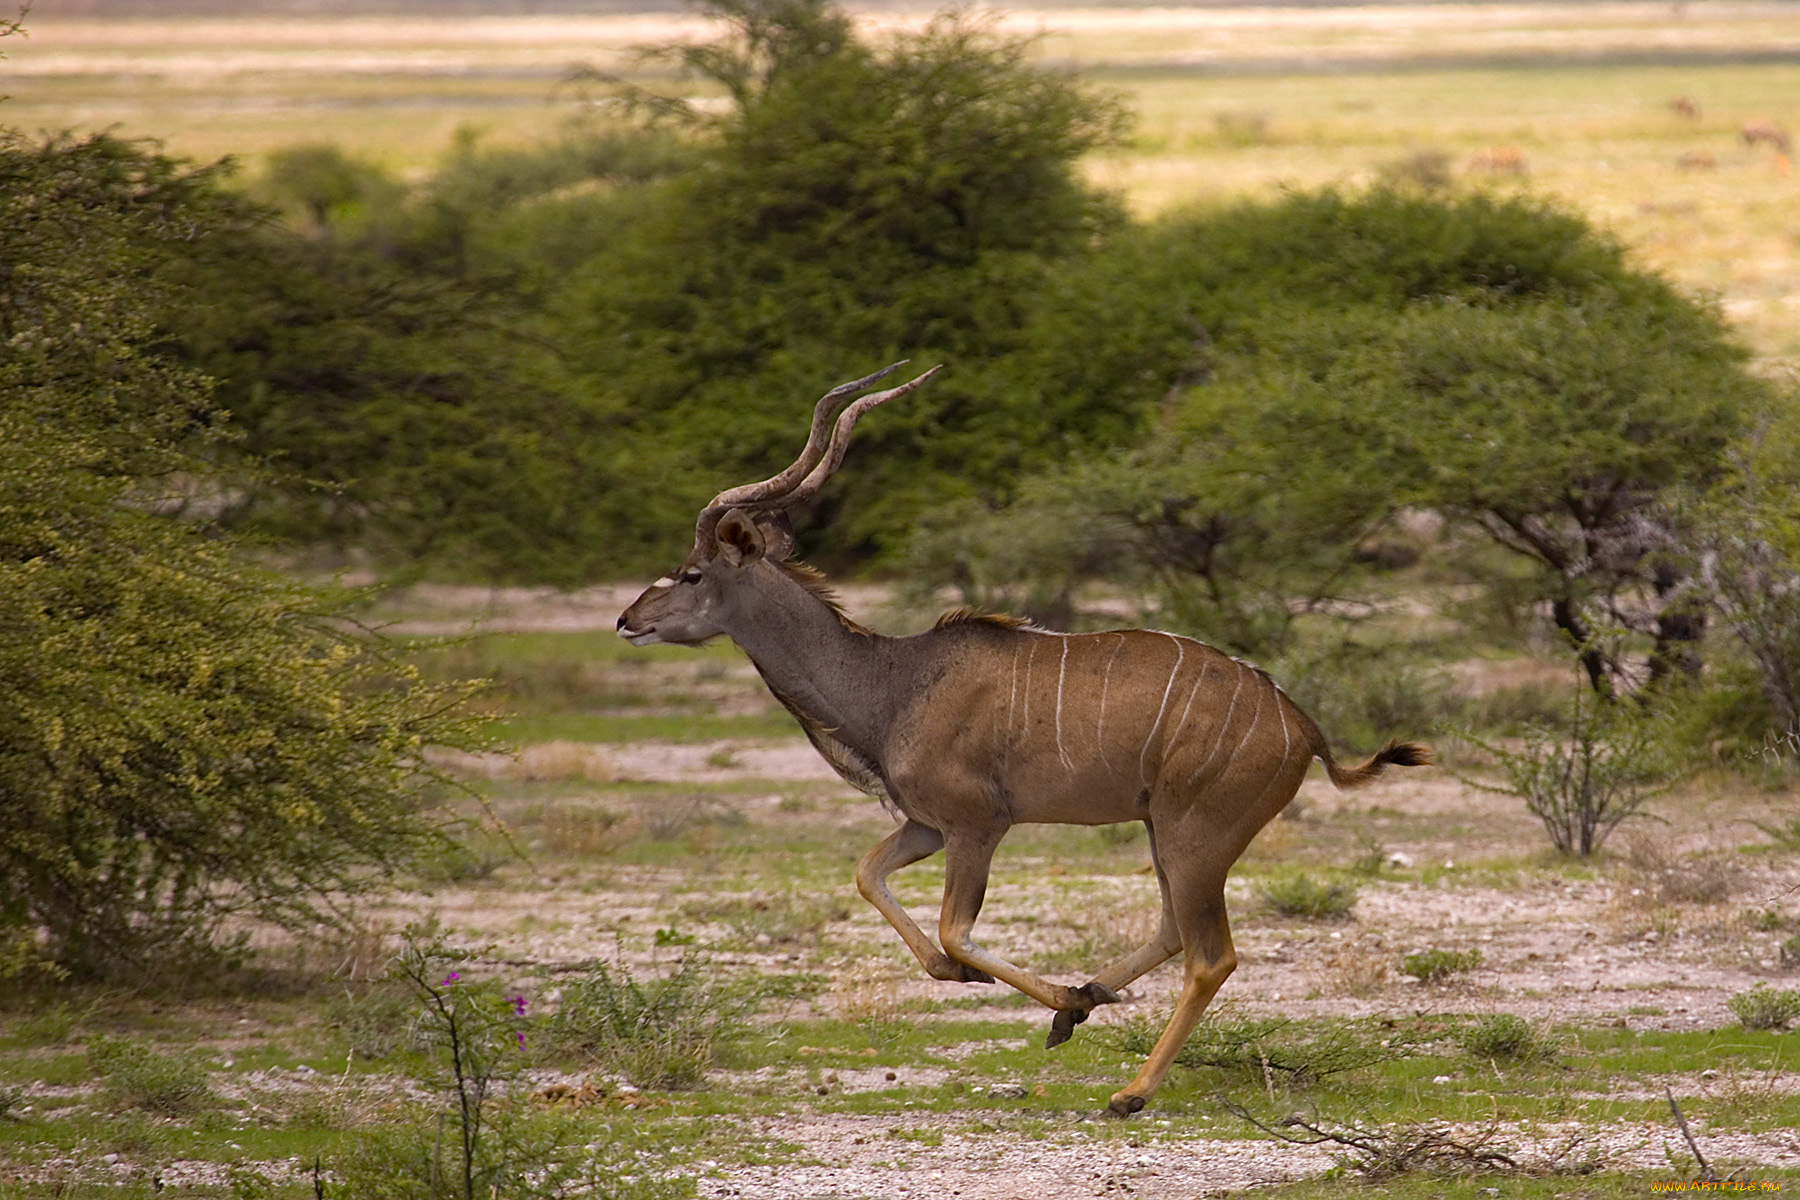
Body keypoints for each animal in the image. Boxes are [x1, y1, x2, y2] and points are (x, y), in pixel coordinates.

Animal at [619, 367, 1432, 1115]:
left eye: (691, 573)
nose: (628, 620)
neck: (893, 681)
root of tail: (1303, 726)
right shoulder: (927, 825)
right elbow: (869, 877)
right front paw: (1055, 999)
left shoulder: (978, 823)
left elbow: (954, 930)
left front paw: (1031, 992)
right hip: (1165, 832)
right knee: (1174, 930)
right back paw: (1087, 999)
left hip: (1194, 834)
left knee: (1210, 956)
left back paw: (1128, 1088)